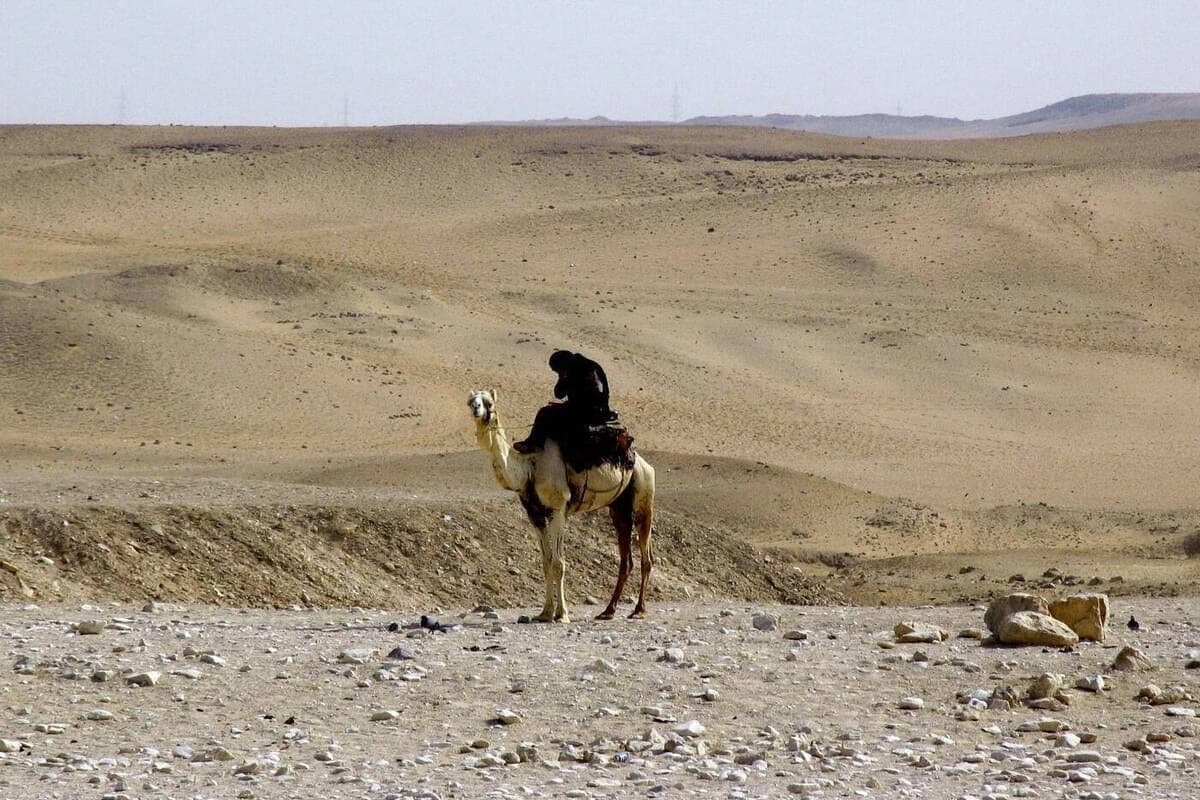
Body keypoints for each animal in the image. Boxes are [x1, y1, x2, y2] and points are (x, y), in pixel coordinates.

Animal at [467, 389, 655, 622]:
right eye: (470, 401)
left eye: (489, 403)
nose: (476, 408)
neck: (529, 468)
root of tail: (642, 462)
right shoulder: (536, 515)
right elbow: (546, 563)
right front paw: (545, 613)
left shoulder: (558, 510)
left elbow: (559, 563)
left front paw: (562, 614)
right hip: (618, 508)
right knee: (626, 559)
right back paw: (608, 611)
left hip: (644, 495)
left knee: (646, 557)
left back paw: (638, 610)